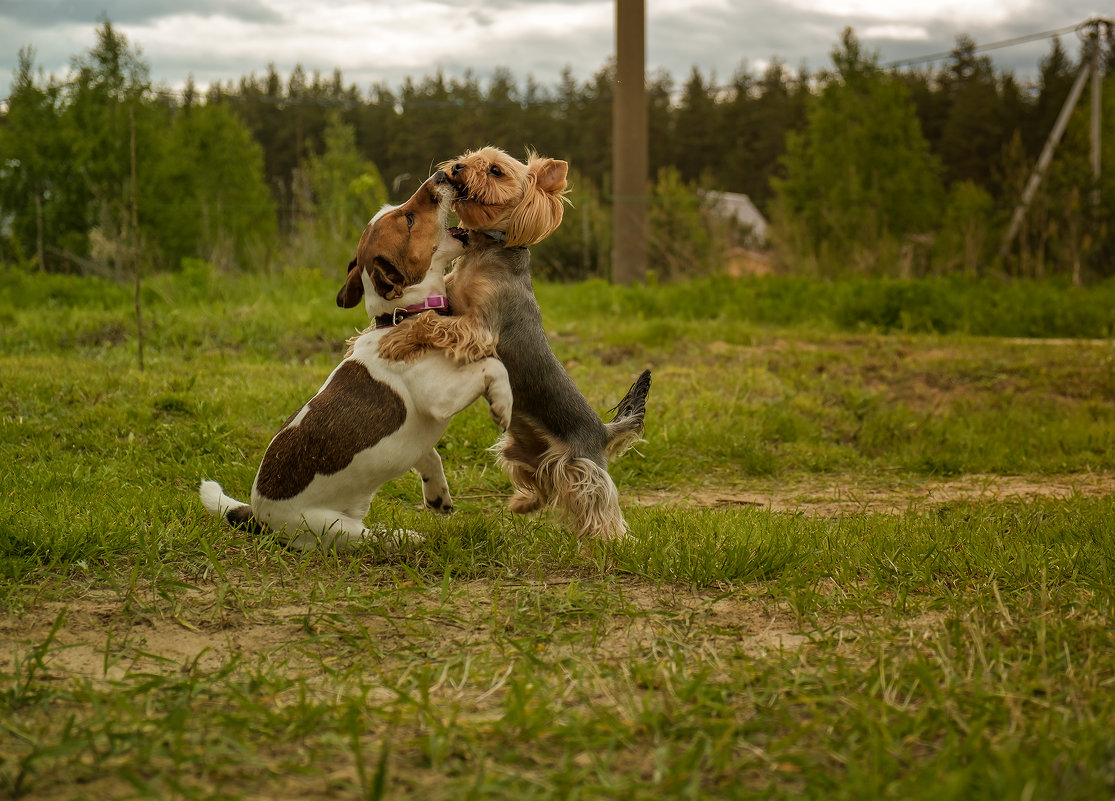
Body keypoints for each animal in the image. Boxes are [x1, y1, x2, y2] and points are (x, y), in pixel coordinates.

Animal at [199, 176, 510, 553]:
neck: (401, 318)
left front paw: (437, 494)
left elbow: (429, 455)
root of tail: (258, 517)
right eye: (409, 218)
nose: (442, 176)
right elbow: (493, 367)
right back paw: (402, 537)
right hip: (334, 529)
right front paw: (503, 405)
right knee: (371, 538)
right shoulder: (441, 397)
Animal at [379, 147, 651, 542]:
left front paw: (398, 339)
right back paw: (522, 503)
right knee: (544, 484)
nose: (456, 167)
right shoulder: (451, 299)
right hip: (519, 452)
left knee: (595, 501)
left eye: (495, 171)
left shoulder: (479, 327)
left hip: (582, 466)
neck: (485, 251)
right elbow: (432, 313)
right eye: (469, 157)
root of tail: (602, 430)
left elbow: (433, 323)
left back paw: (613, 541)